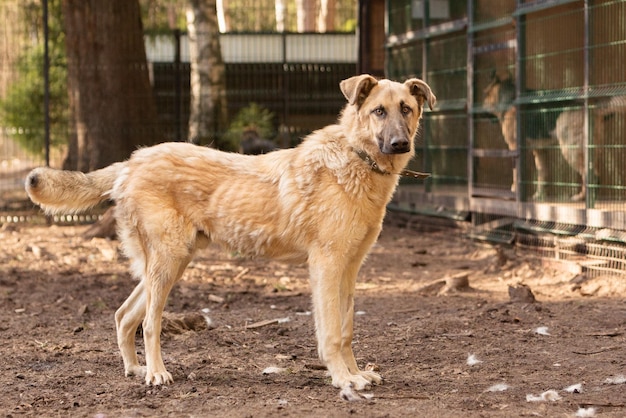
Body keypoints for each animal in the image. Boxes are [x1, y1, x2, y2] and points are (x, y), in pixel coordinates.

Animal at [24, 74, 434, 398]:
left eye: (406, 109)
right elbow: (331, 333)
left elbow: (346, 330)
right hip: (168, 264)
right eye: (378, 111)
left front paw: (356, 373)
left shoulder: (349, 269)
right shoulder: (326, 266)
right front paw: (343, 379)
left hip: (170, 263)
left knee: (124, 315)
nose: (400, 144)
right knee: (149, 323)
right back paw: (156, 373)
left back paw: (135, 370)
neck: (356, 160)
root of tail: (131, 160)